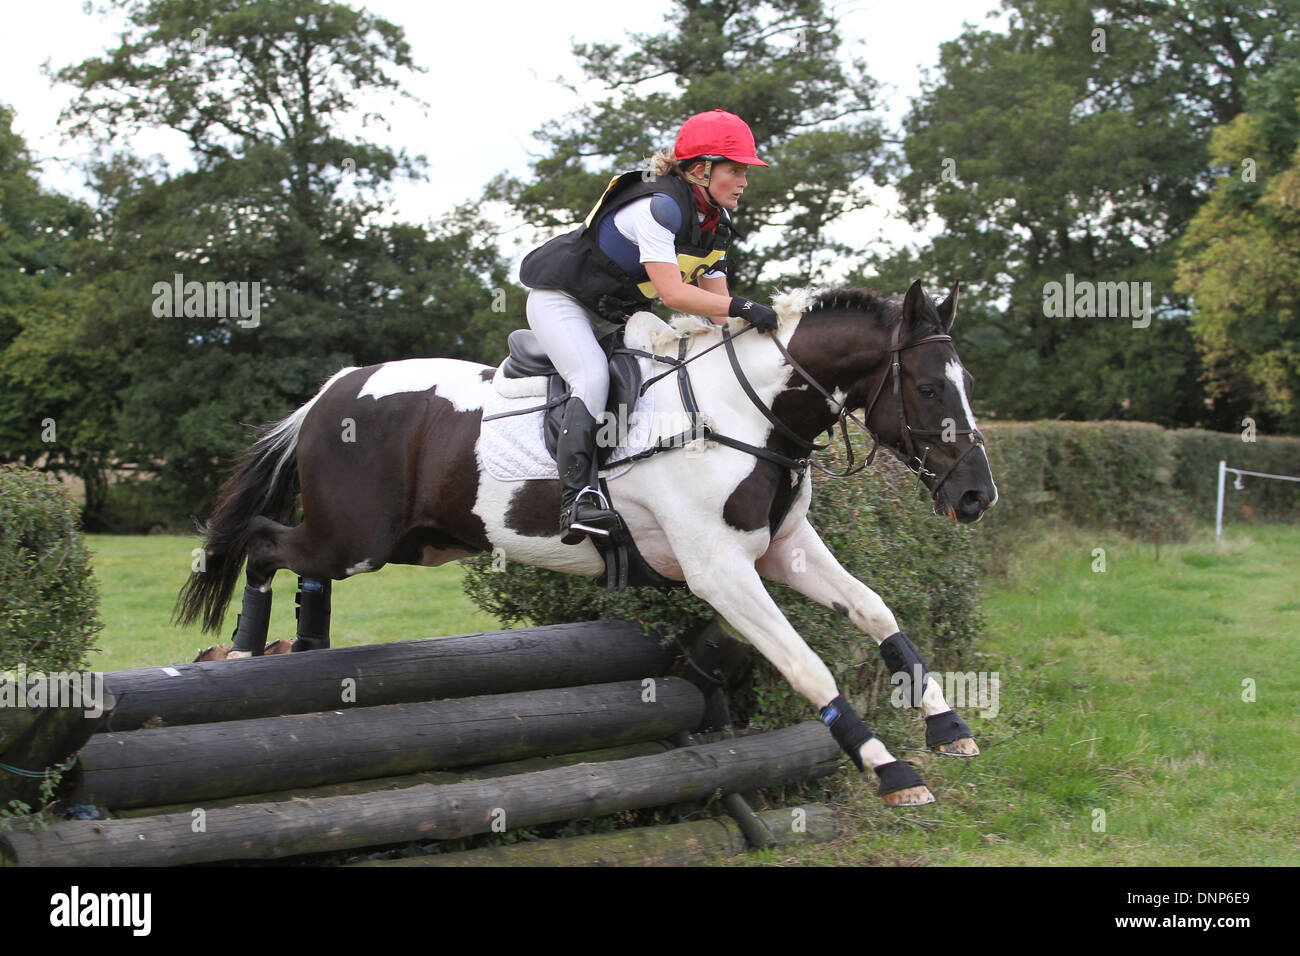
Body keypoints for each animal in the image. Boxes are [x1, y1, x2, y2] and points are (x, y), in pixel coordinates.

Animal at [175, 279, 998, 806]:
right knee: (262, 542)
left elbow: (877, 612)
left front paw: (948, 726)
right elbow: (807, 665)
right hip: (356, 536)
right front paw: (889, 770)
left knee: (299, 562)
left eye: (967, 385)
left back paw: (311, 650)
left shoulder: (783, 550)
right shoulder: (720, 571)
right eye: (929, 388)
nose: (976, 496)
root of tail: (330, 391)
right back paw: (245, 653)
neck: (750, 412)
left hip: (409, 541)